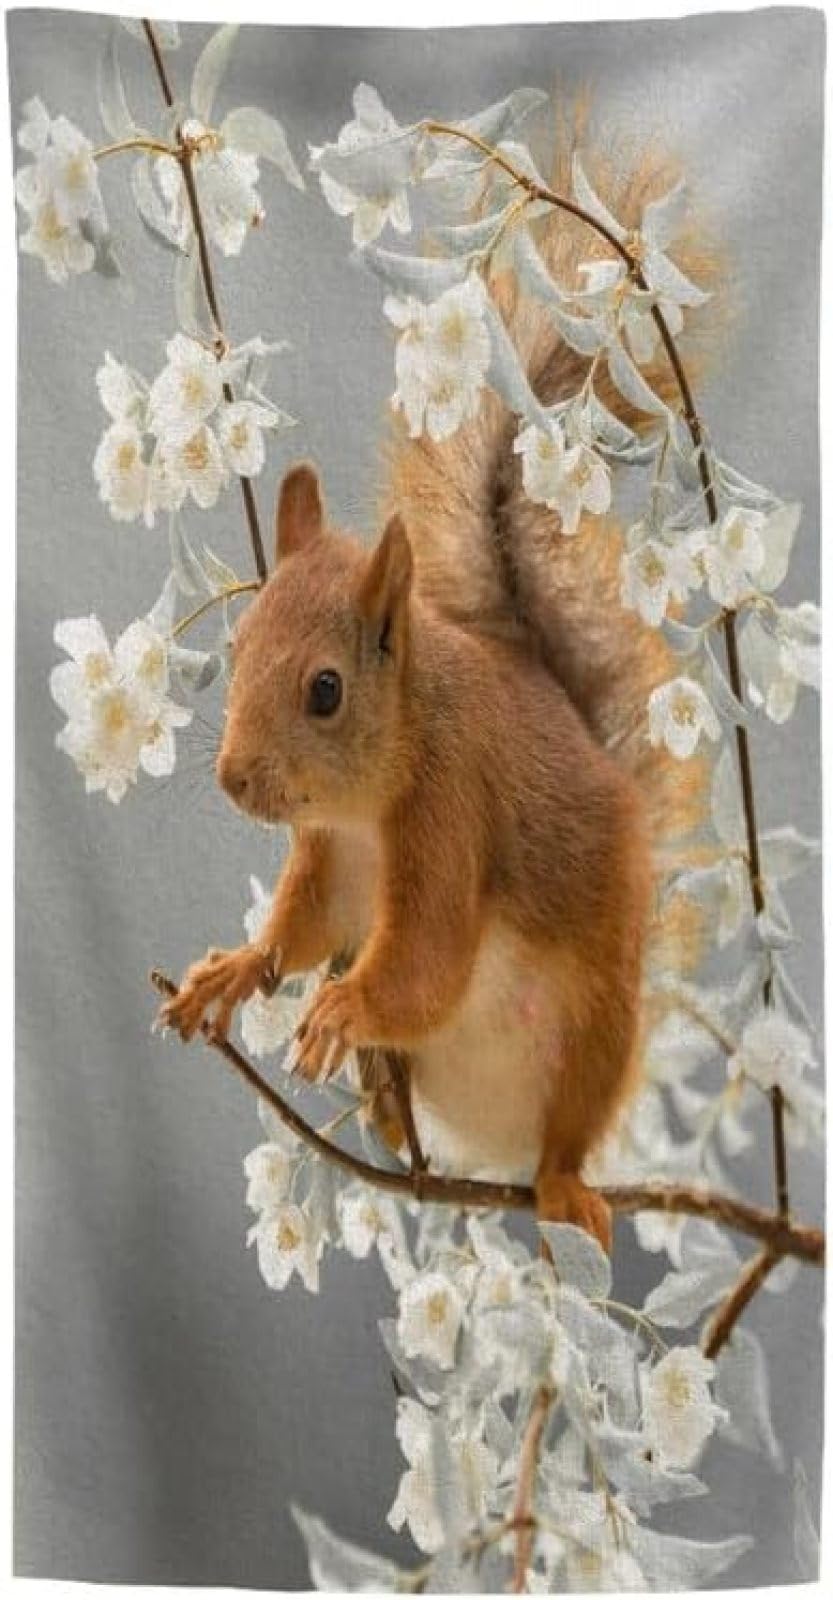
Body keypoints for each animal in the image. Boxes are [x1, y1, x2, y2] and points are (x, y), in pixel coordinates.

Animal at [161, 137, 713, 1252]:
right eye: (237, 646)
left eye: (326, 690)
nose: (235, 779)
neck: (366, 807)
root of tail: (488, 1155)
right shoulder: (325, 863)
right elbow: (299, 932)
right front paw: (235, 970)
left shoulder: (452, 813)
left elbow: (427, 963)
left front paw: (340, 1010)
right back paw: (384, 1107)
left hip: (596, 1036)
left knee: (566, 1132)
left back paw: (561, 1189)